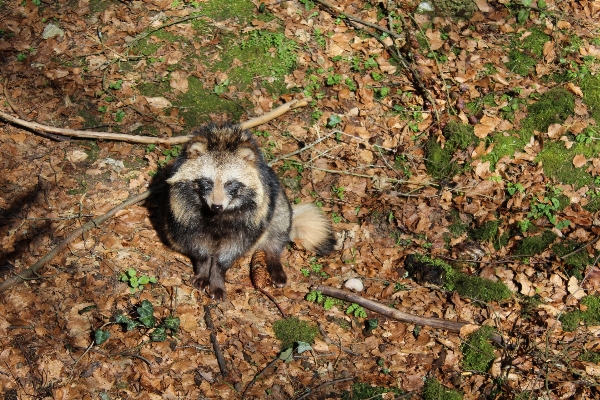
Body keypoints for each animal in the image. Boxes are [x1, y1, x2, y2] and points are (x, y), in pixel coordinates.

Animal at [163, 124, 338, 300]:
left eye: (230, 183)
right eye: (207, 182)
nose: (217, 206)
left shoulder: (251, 218)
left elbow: (230, 252)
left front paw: (217, 278)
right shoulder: (184, 211)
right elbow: (198, 247)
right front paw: (203, 271)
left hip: (278, 203)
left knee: (278, 228)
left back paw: (274, 260)